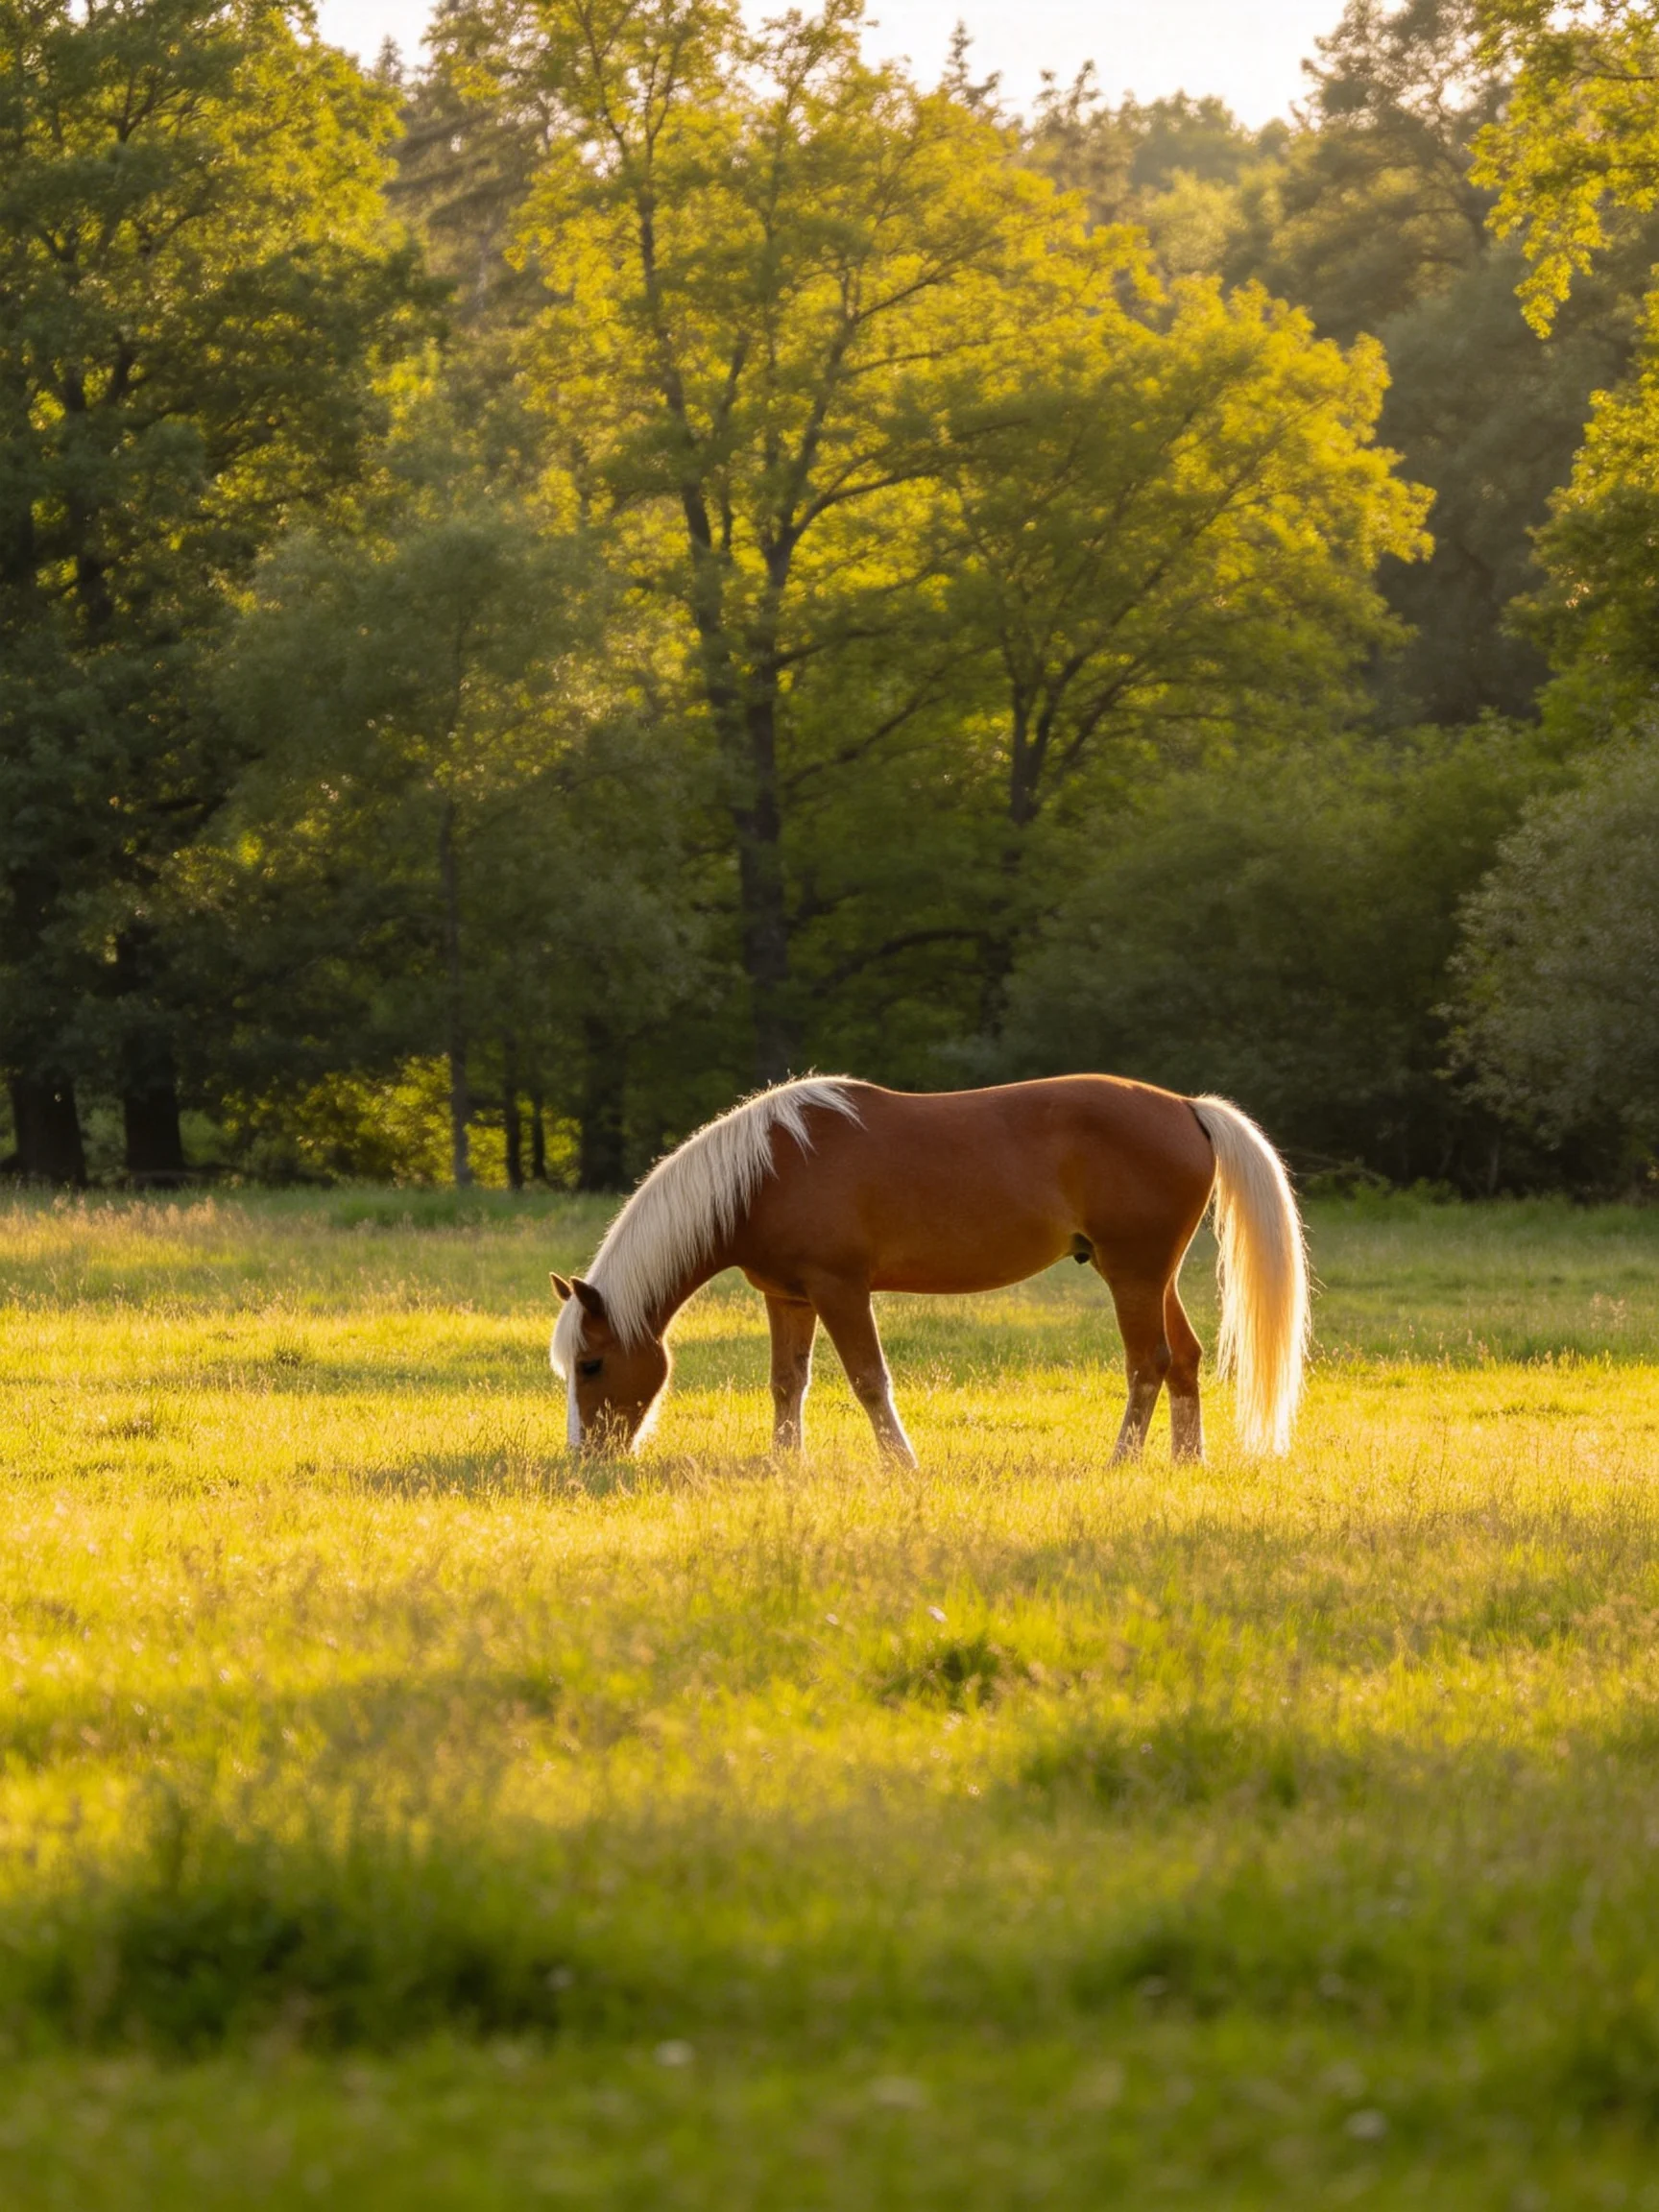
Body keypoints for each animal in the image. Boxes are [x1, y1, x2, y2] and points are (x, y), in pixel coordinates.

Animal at [551, 1074, 1309, 1464]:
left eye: (592, 1364)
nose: (586, 1458)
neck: (766, 1171)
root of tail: (1187, 1108)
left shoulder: (840, 1290)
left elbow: (867, 1381)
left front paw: (901, 1465)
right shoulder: (788, 1298)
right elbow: (786, 1385)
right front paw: (785, 1467)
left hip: (1133, 1276)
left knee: (1148, 1362)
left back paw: (1121, 1463)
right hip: (1152, 1278)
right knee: (1184, 1358)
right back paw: (1186, 1462)